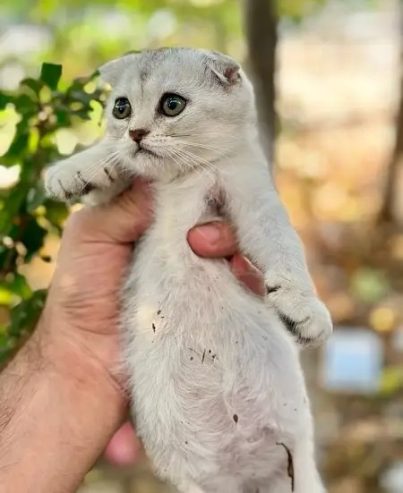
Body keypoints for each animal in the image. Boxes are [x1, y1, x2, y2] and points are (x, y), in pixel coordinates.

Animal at [45, 47, 332, 492]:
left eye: (172, 105)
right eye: (121, 108)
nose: (136, 133)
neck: (182, 177)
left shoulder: (251, 195)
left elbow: (283, 245)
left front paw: (303, 309)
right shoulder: (112, 207)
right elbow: (111, 169)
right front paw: (77, 168)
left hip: (297, 472)